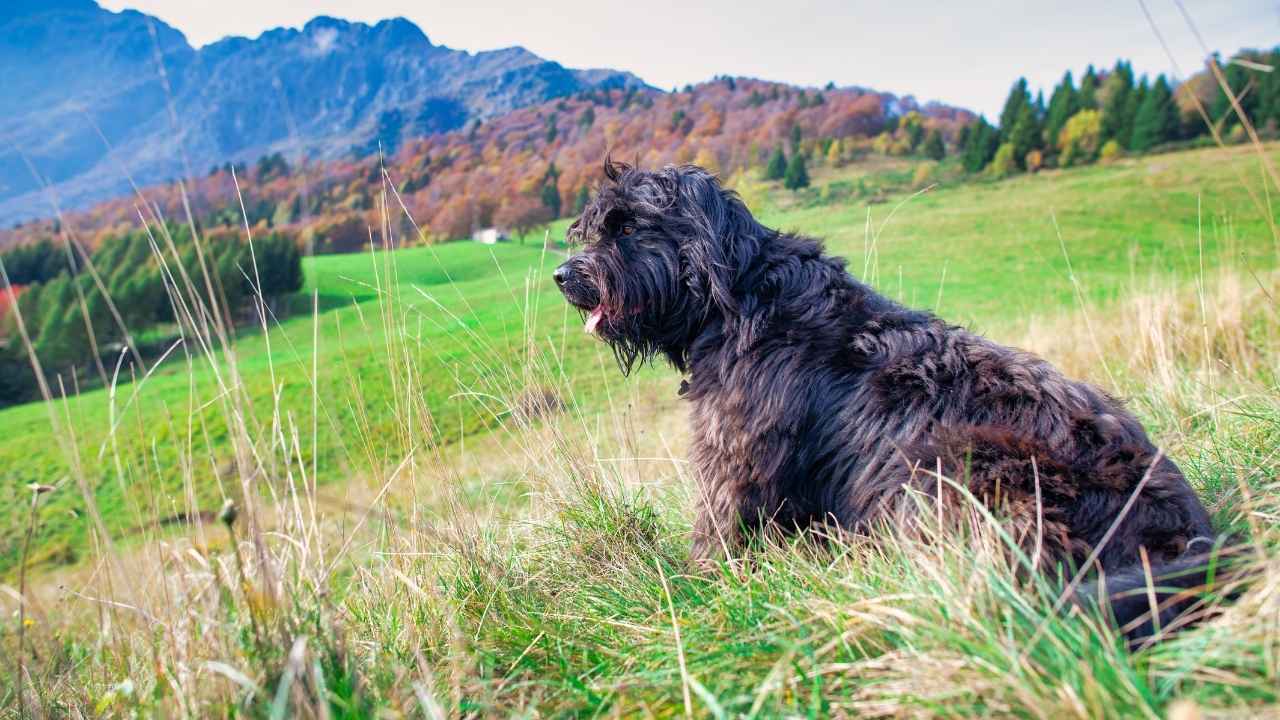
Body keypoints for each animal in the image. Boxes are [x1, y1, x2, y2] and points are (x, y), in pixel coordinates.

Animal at [558, 158, 1228, 638]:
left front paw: (688, 588)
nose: (564, 276)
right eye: (596, 228)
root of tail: (1181, 540)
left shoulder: (738, 460)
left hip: (948, 467)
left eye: (627, 227)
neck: (740, 296)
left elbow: (719, 529)